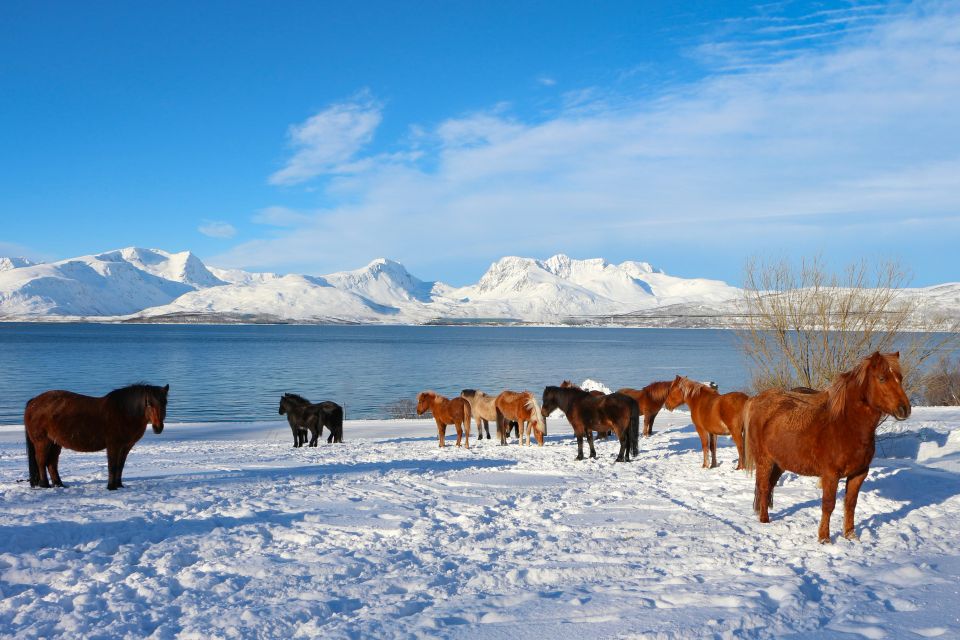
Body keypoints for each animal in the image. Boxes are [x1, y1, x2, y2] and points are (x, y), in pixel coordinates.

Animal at [23, 382, 171, 492]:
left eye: (165, 402)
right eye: (149, 403)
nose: (158, 428)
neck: (123, 412)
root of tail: (33, 401)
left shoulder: (125, 447)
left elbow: (120, 466)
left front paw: (119, 485)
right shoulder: (113, 446)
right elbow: (112, 465)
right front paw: (111, 487)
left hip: (55, 443)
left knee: (52, 463)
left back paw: (59, 484)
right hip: (43, 442)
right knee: (41, 461)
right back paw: (45, 485)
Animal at [748, 352, 912, 544]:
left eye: (900, 378)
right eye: (882, 378)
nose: (905, 409)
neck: (846, 426)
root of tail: (760, 400)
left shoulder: (859, 474)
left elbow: (850, 504)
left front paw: (850, 535)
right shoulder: (830, 475)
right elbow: (828, 505)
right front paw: (824, 538)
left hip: (780, 463)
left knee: (769, 486)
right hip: (764, 461)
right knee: (764, 487)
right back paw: (764, 521)